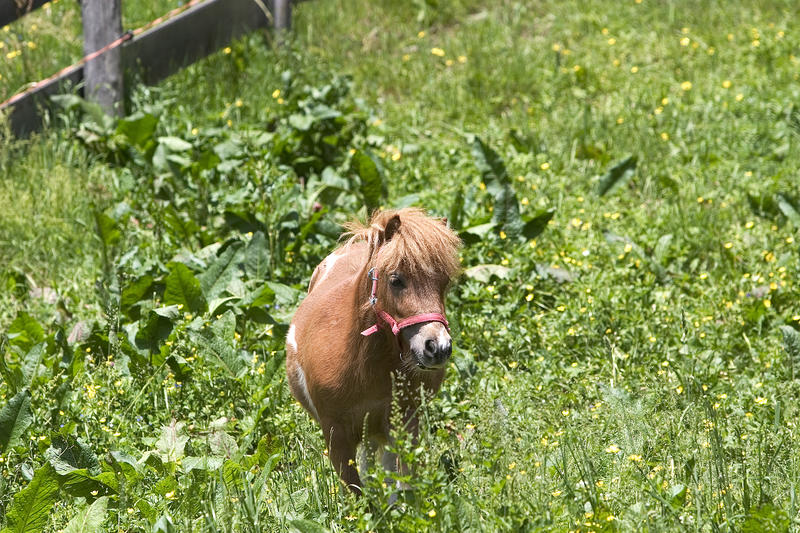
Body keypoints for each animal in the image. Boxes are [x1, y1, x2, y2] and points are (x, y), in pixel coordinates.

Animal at [284, 207, 460, 490]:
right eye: (396, 280)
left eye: (444, 283)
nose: (438, 347)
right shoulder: (337, 438)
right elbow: (357, 493)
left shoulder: (405, 424)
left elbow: (403, 482)